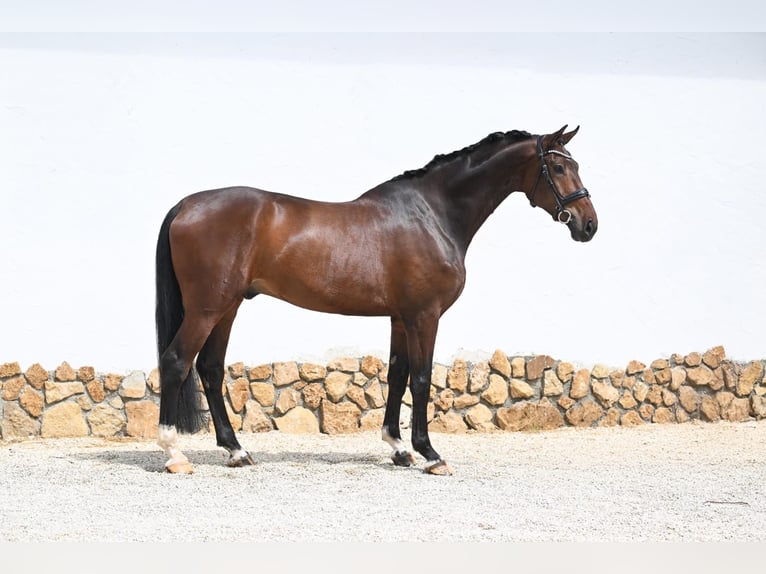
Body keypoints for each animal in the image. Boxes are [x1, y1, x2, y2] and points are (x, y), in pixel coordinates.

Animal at [155, 124, 598, 475]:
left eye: (576, 165)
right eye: (559, 168)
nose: (588, 225)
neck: (432, 214)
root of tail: (186, 204)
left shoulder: (400, 318)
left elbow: (397, 375)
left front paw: (399, 448)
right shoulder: (425, 316)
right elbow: (421, 379)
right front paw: (430, 454)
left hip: (227, 307)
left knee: (210, 369)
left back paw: (236, 451)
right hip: (207, 308)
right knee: (177, 361)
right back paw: (175, 454)